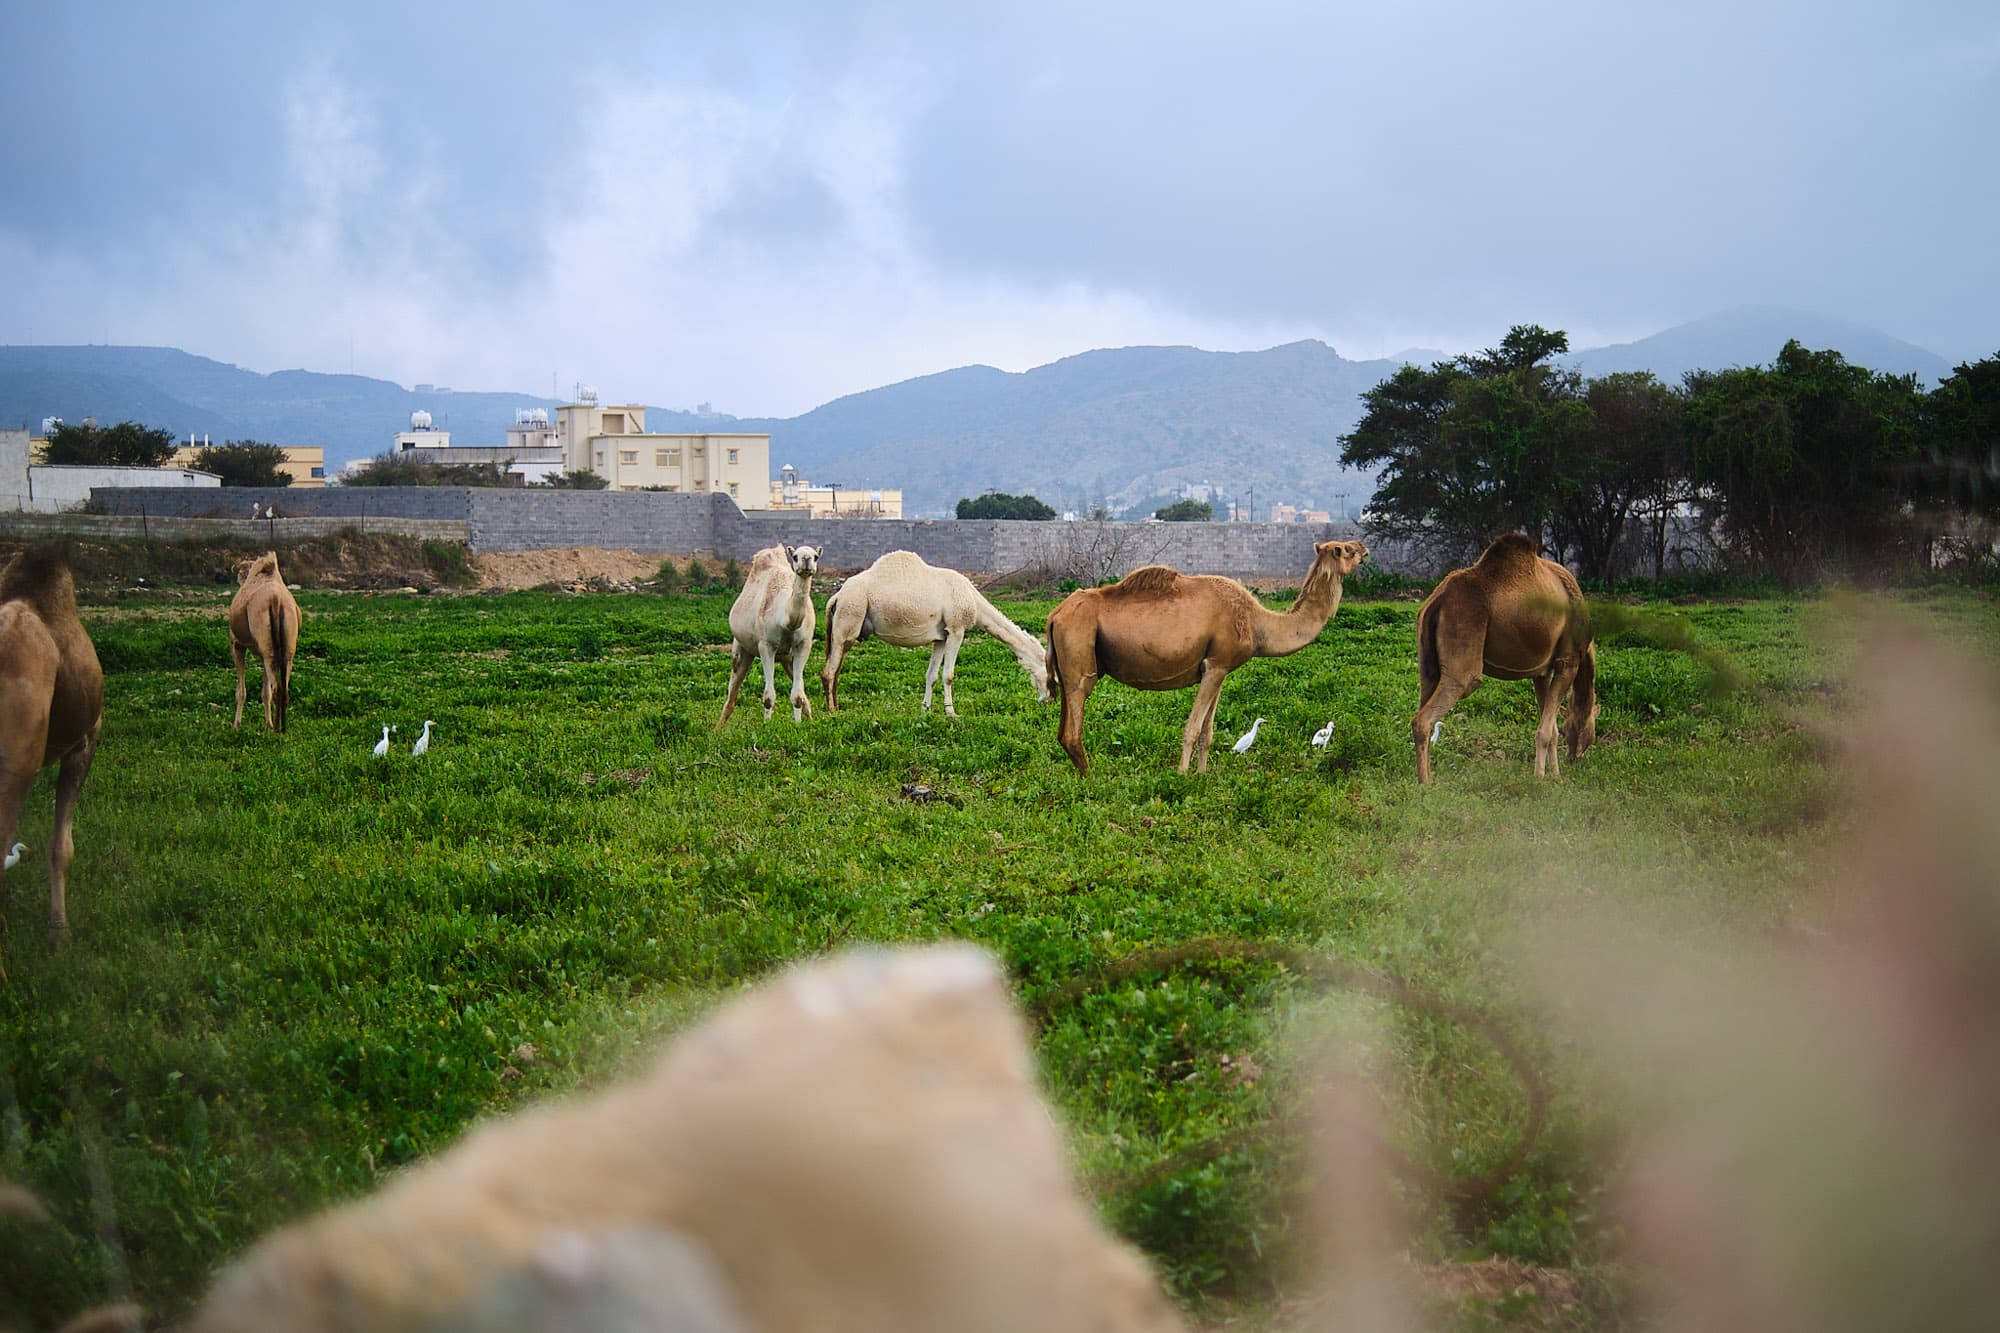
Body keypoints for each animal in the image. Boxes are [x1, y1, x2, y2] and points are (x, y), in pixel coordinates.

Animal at [228, 551, 300, 732]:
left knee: (277, 689)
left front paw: (236, 724)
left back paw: (276, 729)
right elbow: (264, 692)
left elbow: (241, 691)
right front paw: (267, 724)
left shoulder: (236, 644)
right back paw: (281, 727)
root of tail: (276, 600)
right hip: (285, 648)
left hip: (266, 643)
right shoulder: (263, 652)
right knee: (284, 688)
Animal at [720, 545, 821, 725]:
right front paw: (766, 726)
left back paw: (811, 720)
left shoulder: (803, 644)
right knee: (731, 695)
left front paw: (798, 726)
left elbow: (797, 696)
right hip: (741, 649)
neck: (786, 620)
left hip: (787, 659)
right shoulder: (766, 645)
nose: (806, 560)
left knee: (802, 694)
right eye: (795, 556)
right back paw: (717, 729)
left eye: (816, 556)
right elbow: (768, 697)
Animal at [822, 551, 1050, 716]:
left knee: (837, 667)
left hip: (847, 623)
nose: (1047, 699)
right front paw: (952, 714)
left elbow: (931, 675)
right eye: (1049, 674)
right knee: (829, 671)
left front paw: (925, 710)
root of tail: (836, 597)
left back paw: (837, 706)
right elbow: (948, 675)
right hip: (850, 615)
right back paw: (831, 711)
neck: (974, 603)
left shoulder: (941, 637)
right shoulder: (957, 630)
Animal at [1047, 539, 1368, 775]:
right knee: (1074, 726)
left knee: (1062, 731)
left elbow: (1208, 732)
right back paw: (1092, 780)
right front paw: (1181, 777)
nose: (1364, 548)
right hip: (1080, 657)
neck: (1257, 622)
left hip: (1066, 667)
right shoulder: (1215, 665)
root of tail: (1055, 614)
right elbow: (1192, 728)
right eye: (1345, 549)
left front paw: (1202, 776)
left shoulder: (1218, 667)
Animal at [1412, 533, 1598, 784]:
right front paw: (1540, 778)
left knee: (1425, 700)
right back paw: (1426, 784)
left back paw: (1427, 777)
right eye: (1592, 734)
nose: (1576, 757)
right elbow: (1546, 731)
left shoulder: (1541, 672)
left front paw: (1555, 775)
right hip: (1464, 645)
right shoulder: (1567, 662)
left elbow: (1551, 728)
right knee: (1426, 717)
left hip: (1427, 662)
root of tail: (1436, 601)